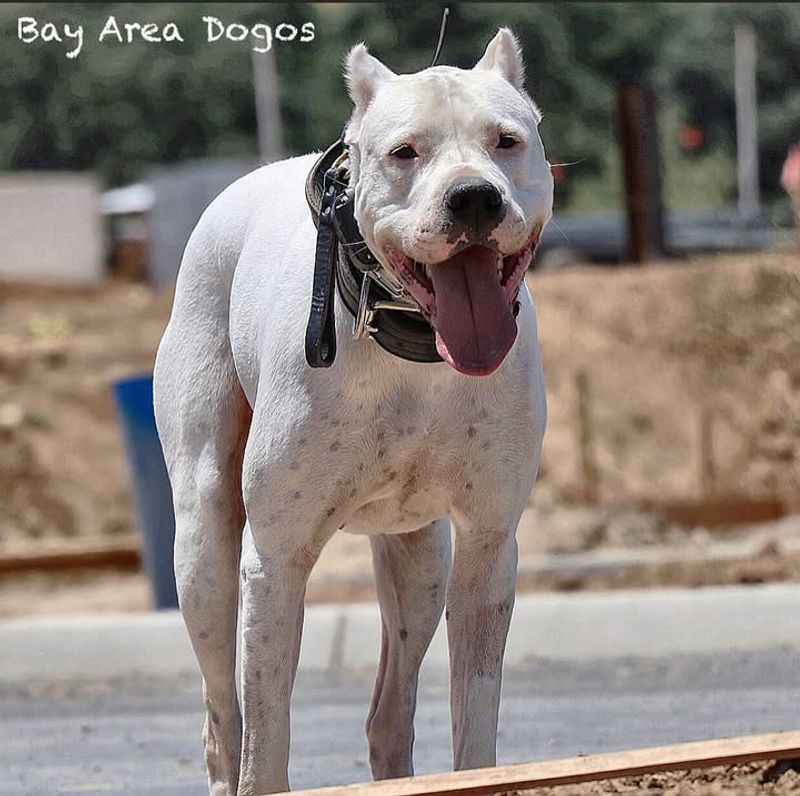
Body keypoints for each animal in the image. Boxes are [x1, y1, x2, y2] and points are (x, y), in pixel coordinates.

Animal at [155, 28, 552, 792]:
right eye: (405, 152)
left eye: (506, 141)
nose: (475, 199)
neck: (417, 350)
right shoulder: (275, 559)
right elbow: (266, 734)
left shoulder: (488, 546)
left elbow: (475, 708)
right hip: (205, 552)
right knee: (224, 719)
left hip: (422, 563)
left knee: (388, 711)